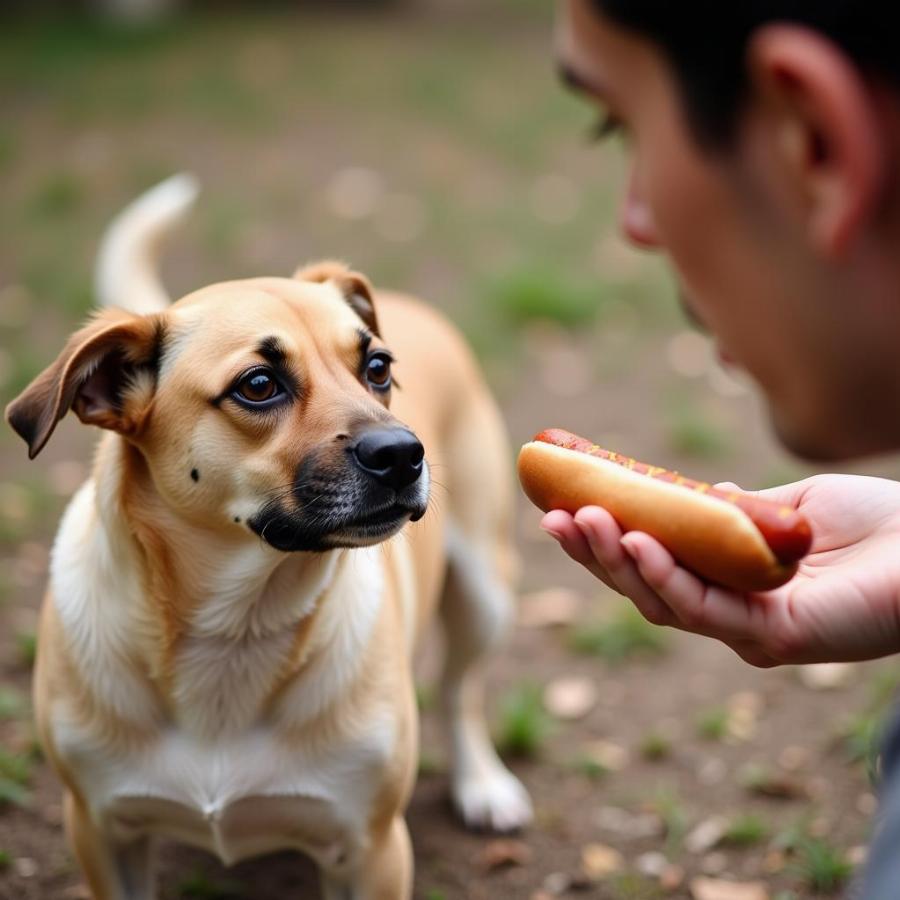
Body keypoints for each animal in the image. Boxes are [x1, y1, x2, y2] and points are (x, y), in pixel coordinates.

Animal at [7, 178, 532, 900]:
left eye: (377, 368)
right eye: (258, 385)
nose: (405, 453)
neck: (235, 632)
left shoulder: (372, 849)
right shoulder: (99, 830)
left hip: (485, 592)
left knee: (460, 687)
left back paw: (481, 783)